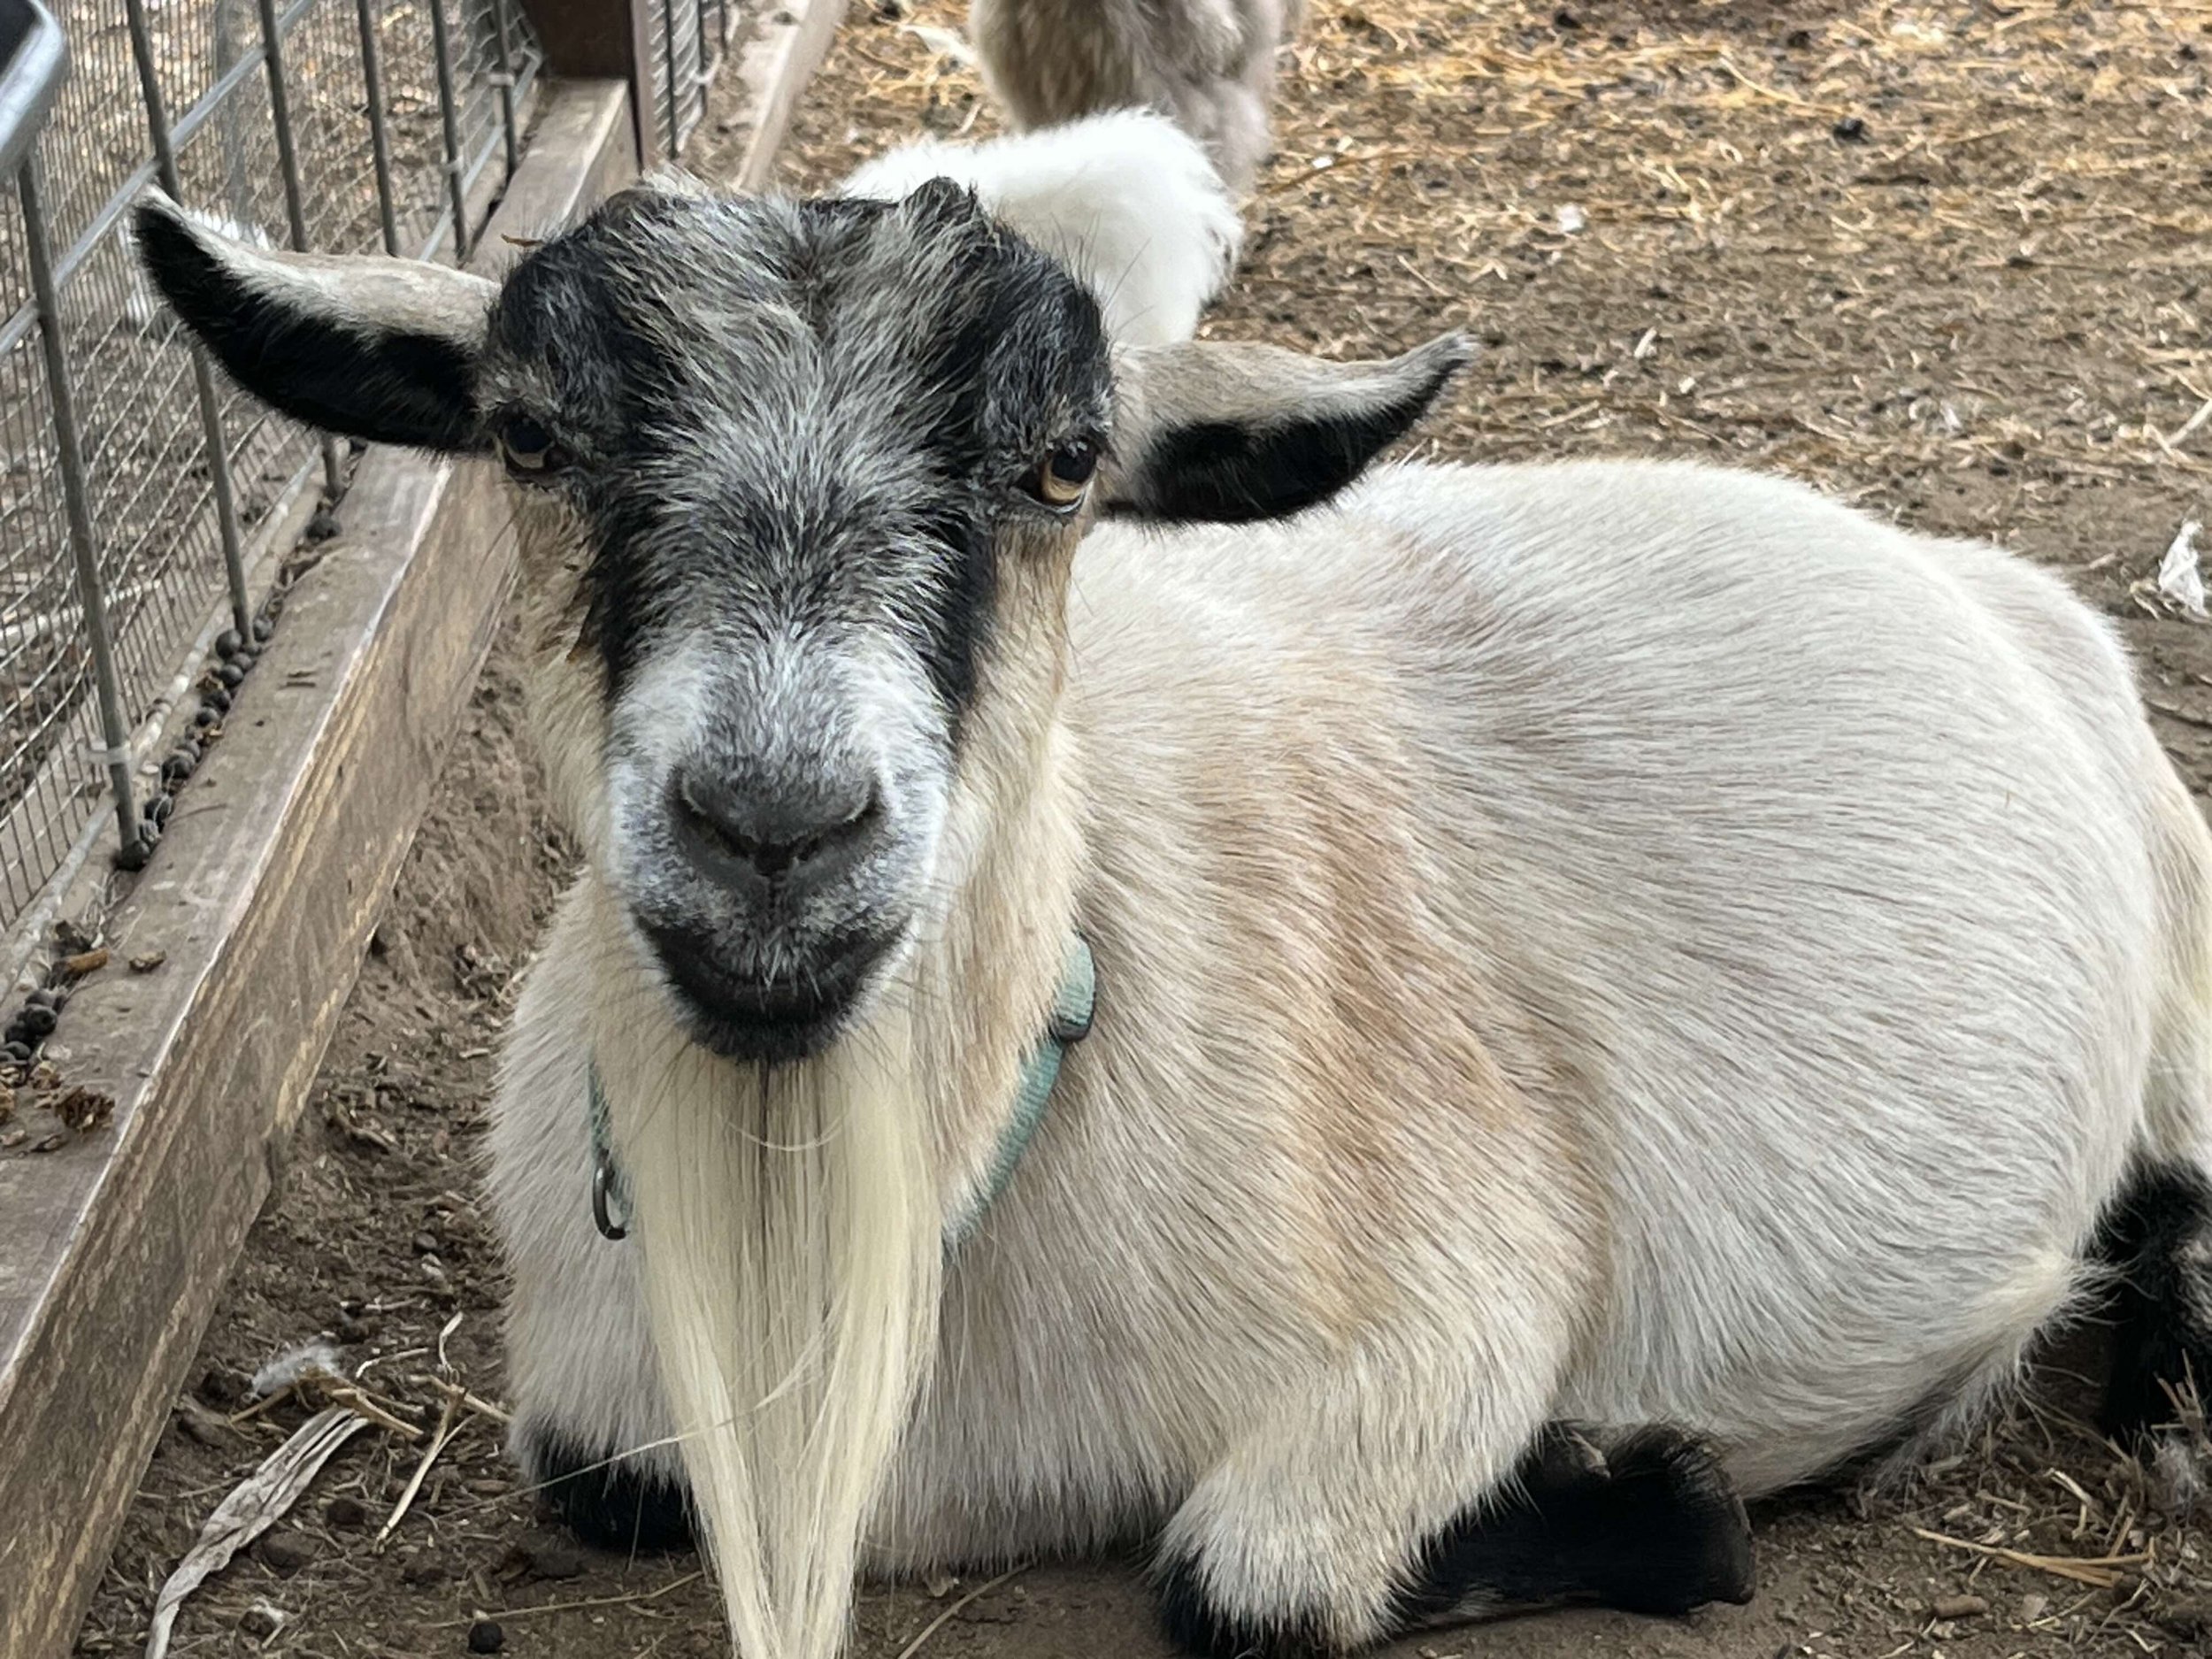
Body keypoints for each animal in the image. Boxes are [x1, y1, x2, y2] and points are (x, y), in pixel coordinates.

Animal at [136, 176, 2212, 1659]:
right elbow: (591, 1476)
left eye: (1064, 465)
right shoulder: (597, 1389)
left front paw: (1657, 1490)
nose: (775, 826)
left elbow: (1248, 1581)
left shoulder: (1461, 1294)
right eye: (528, 440)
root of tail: (1955, 571)